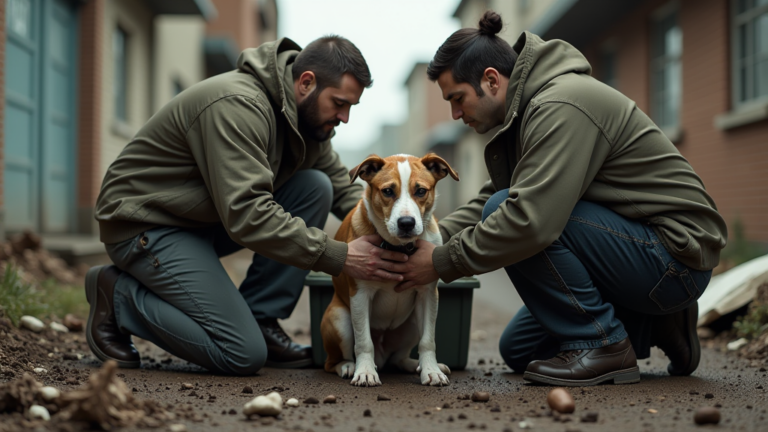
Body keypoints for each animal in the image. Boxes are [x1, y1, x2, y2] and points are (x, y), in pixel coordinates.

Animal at [320, 154, 460, 386]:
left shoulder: (428, 294)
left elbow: (428, 341)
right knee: (332, 362)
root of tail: (382, 356)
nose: (406, 223)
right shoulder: (360, 295)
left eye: (420, 191)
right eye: (387, 191)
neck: (399, 247)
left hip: (411, 324)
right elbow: (364, 342)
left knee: (398, 358)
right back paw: (348, 366)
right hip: (340, 319)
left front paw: (431, 370)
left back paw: (416, 365)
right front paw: (365, 372)